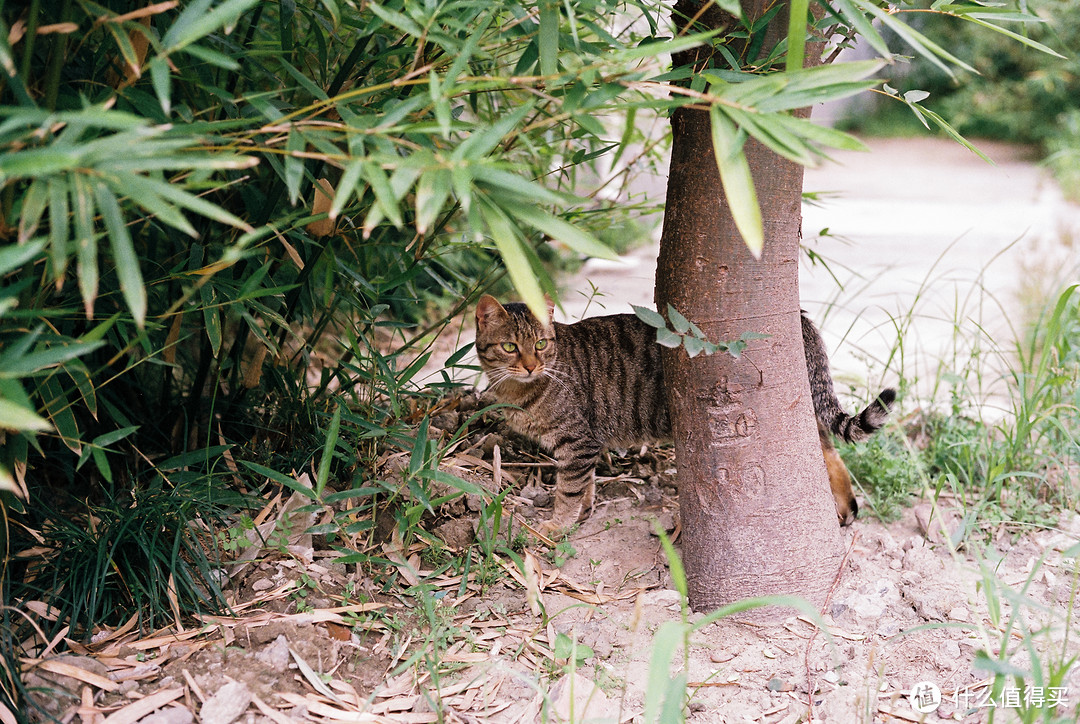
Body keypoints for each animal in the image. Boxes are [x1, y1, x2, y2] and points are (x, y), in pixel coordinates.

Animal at [477, 296, 898, 533]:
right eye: (510, 346)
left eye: (541, 345)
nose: (530, 365)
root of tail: (800, 315)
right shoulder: (582, 446)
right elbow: (584, 485)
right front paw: (583, 511)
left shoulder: (578, 442)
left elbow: (569, 489)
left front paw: (557, 525)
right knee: (828, 450)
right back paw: (845, 507)